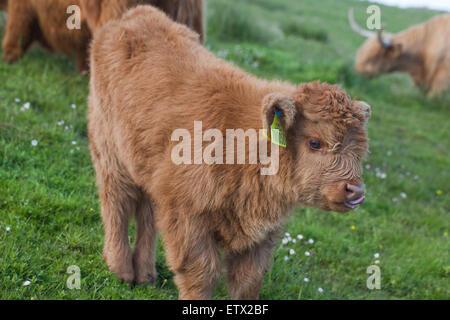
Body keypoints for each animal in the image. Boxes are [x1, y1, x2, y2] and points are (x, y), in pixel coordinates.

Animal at [89, 5, 372, 300]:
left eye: (360, 149)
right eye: (315, 143)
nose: (355, 190)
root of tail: (137, 14)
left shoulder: (261, 239)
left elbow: (247, 281)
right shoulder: (187, 217)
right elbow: (201, 274)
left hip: (143, 164)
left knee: (145, 213)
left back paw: (145, 274)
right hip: (110, 150)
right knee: (116, 203)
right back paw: (121, 270)